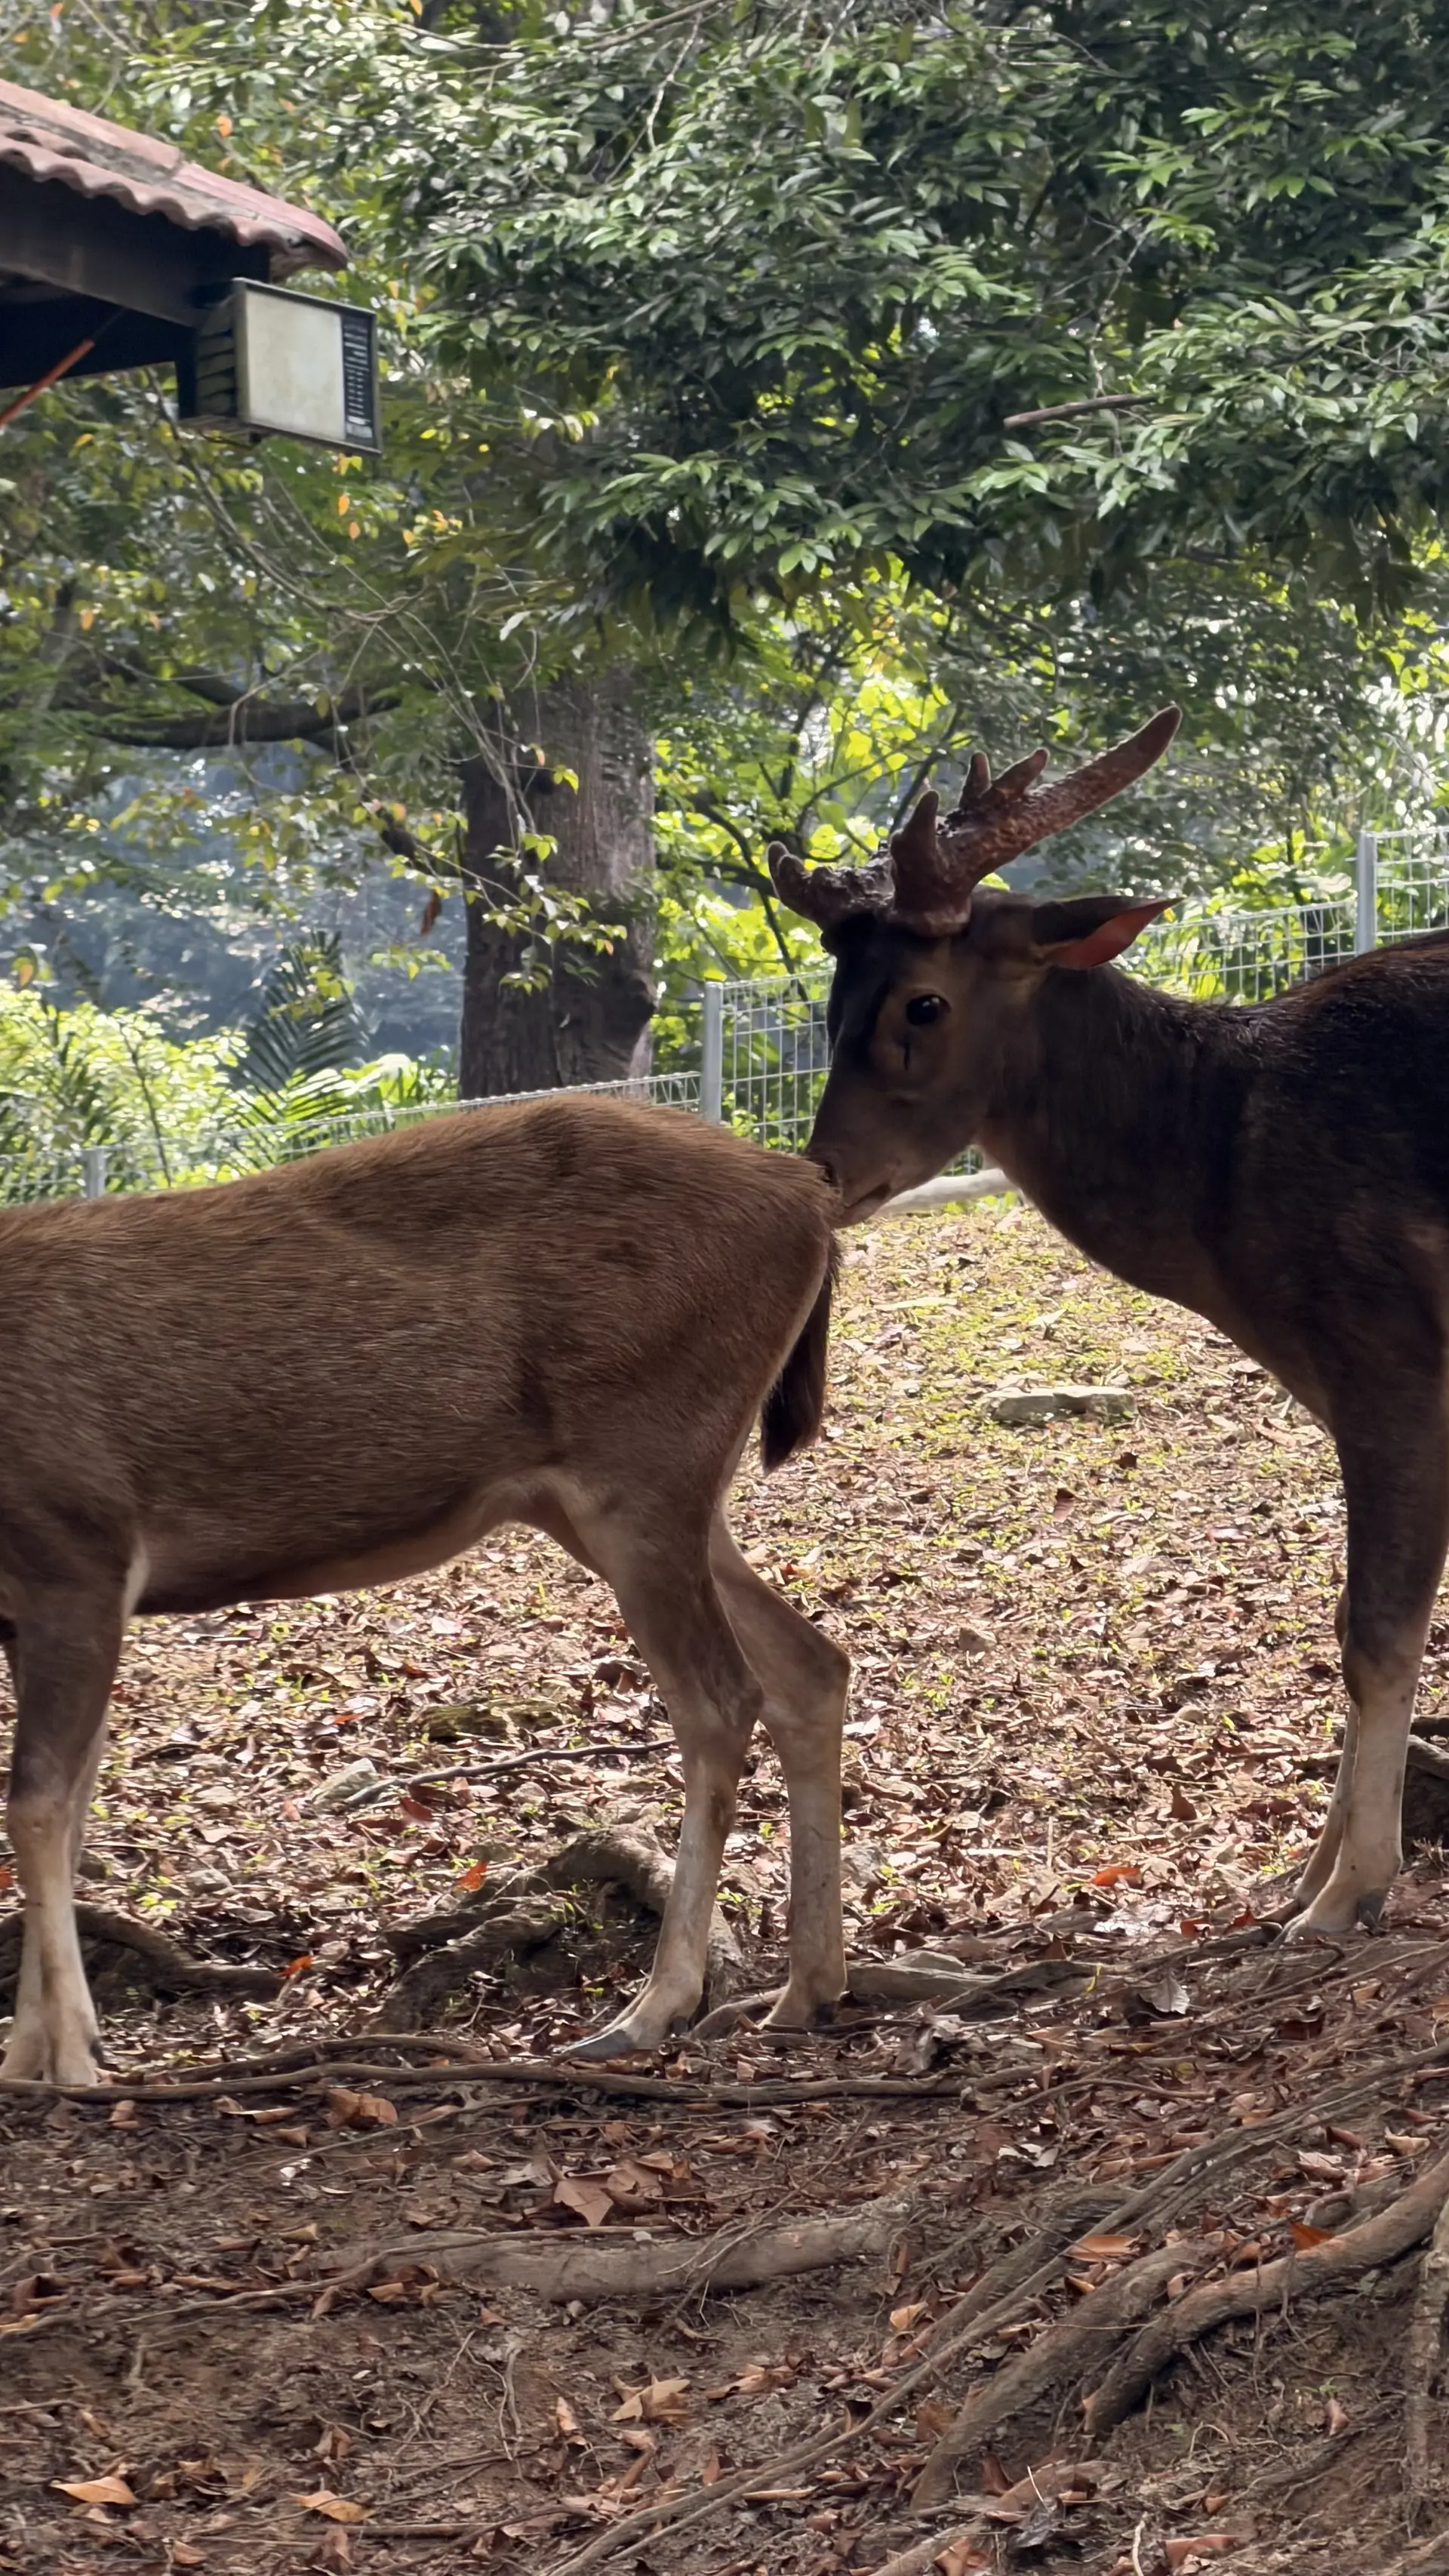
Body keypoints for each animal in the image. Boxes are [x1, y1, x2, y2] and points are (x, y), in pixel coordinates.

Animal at [0, 1093, 848, 2085]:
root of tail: (810, 1198)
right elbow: (71, 1803)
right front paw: (30, 2051)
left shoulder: (77, 1550)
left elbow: (40, 1804)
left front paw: (71, 2058)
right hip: (621, 1498)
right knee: (811, 1662)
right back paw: (806, 1989)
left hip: (643, 1462)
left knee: (719, 1700)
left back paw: (652, 2008)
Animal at [769, 705, 1449, 1940]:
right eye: (831, 1005)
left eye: (923, 1002)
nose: (826, 1170)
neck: (1221, 1180)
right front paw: (1300, 1876)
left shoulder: (1388, 1349)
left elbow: (1376, 1626)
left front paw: (1344, 1894)